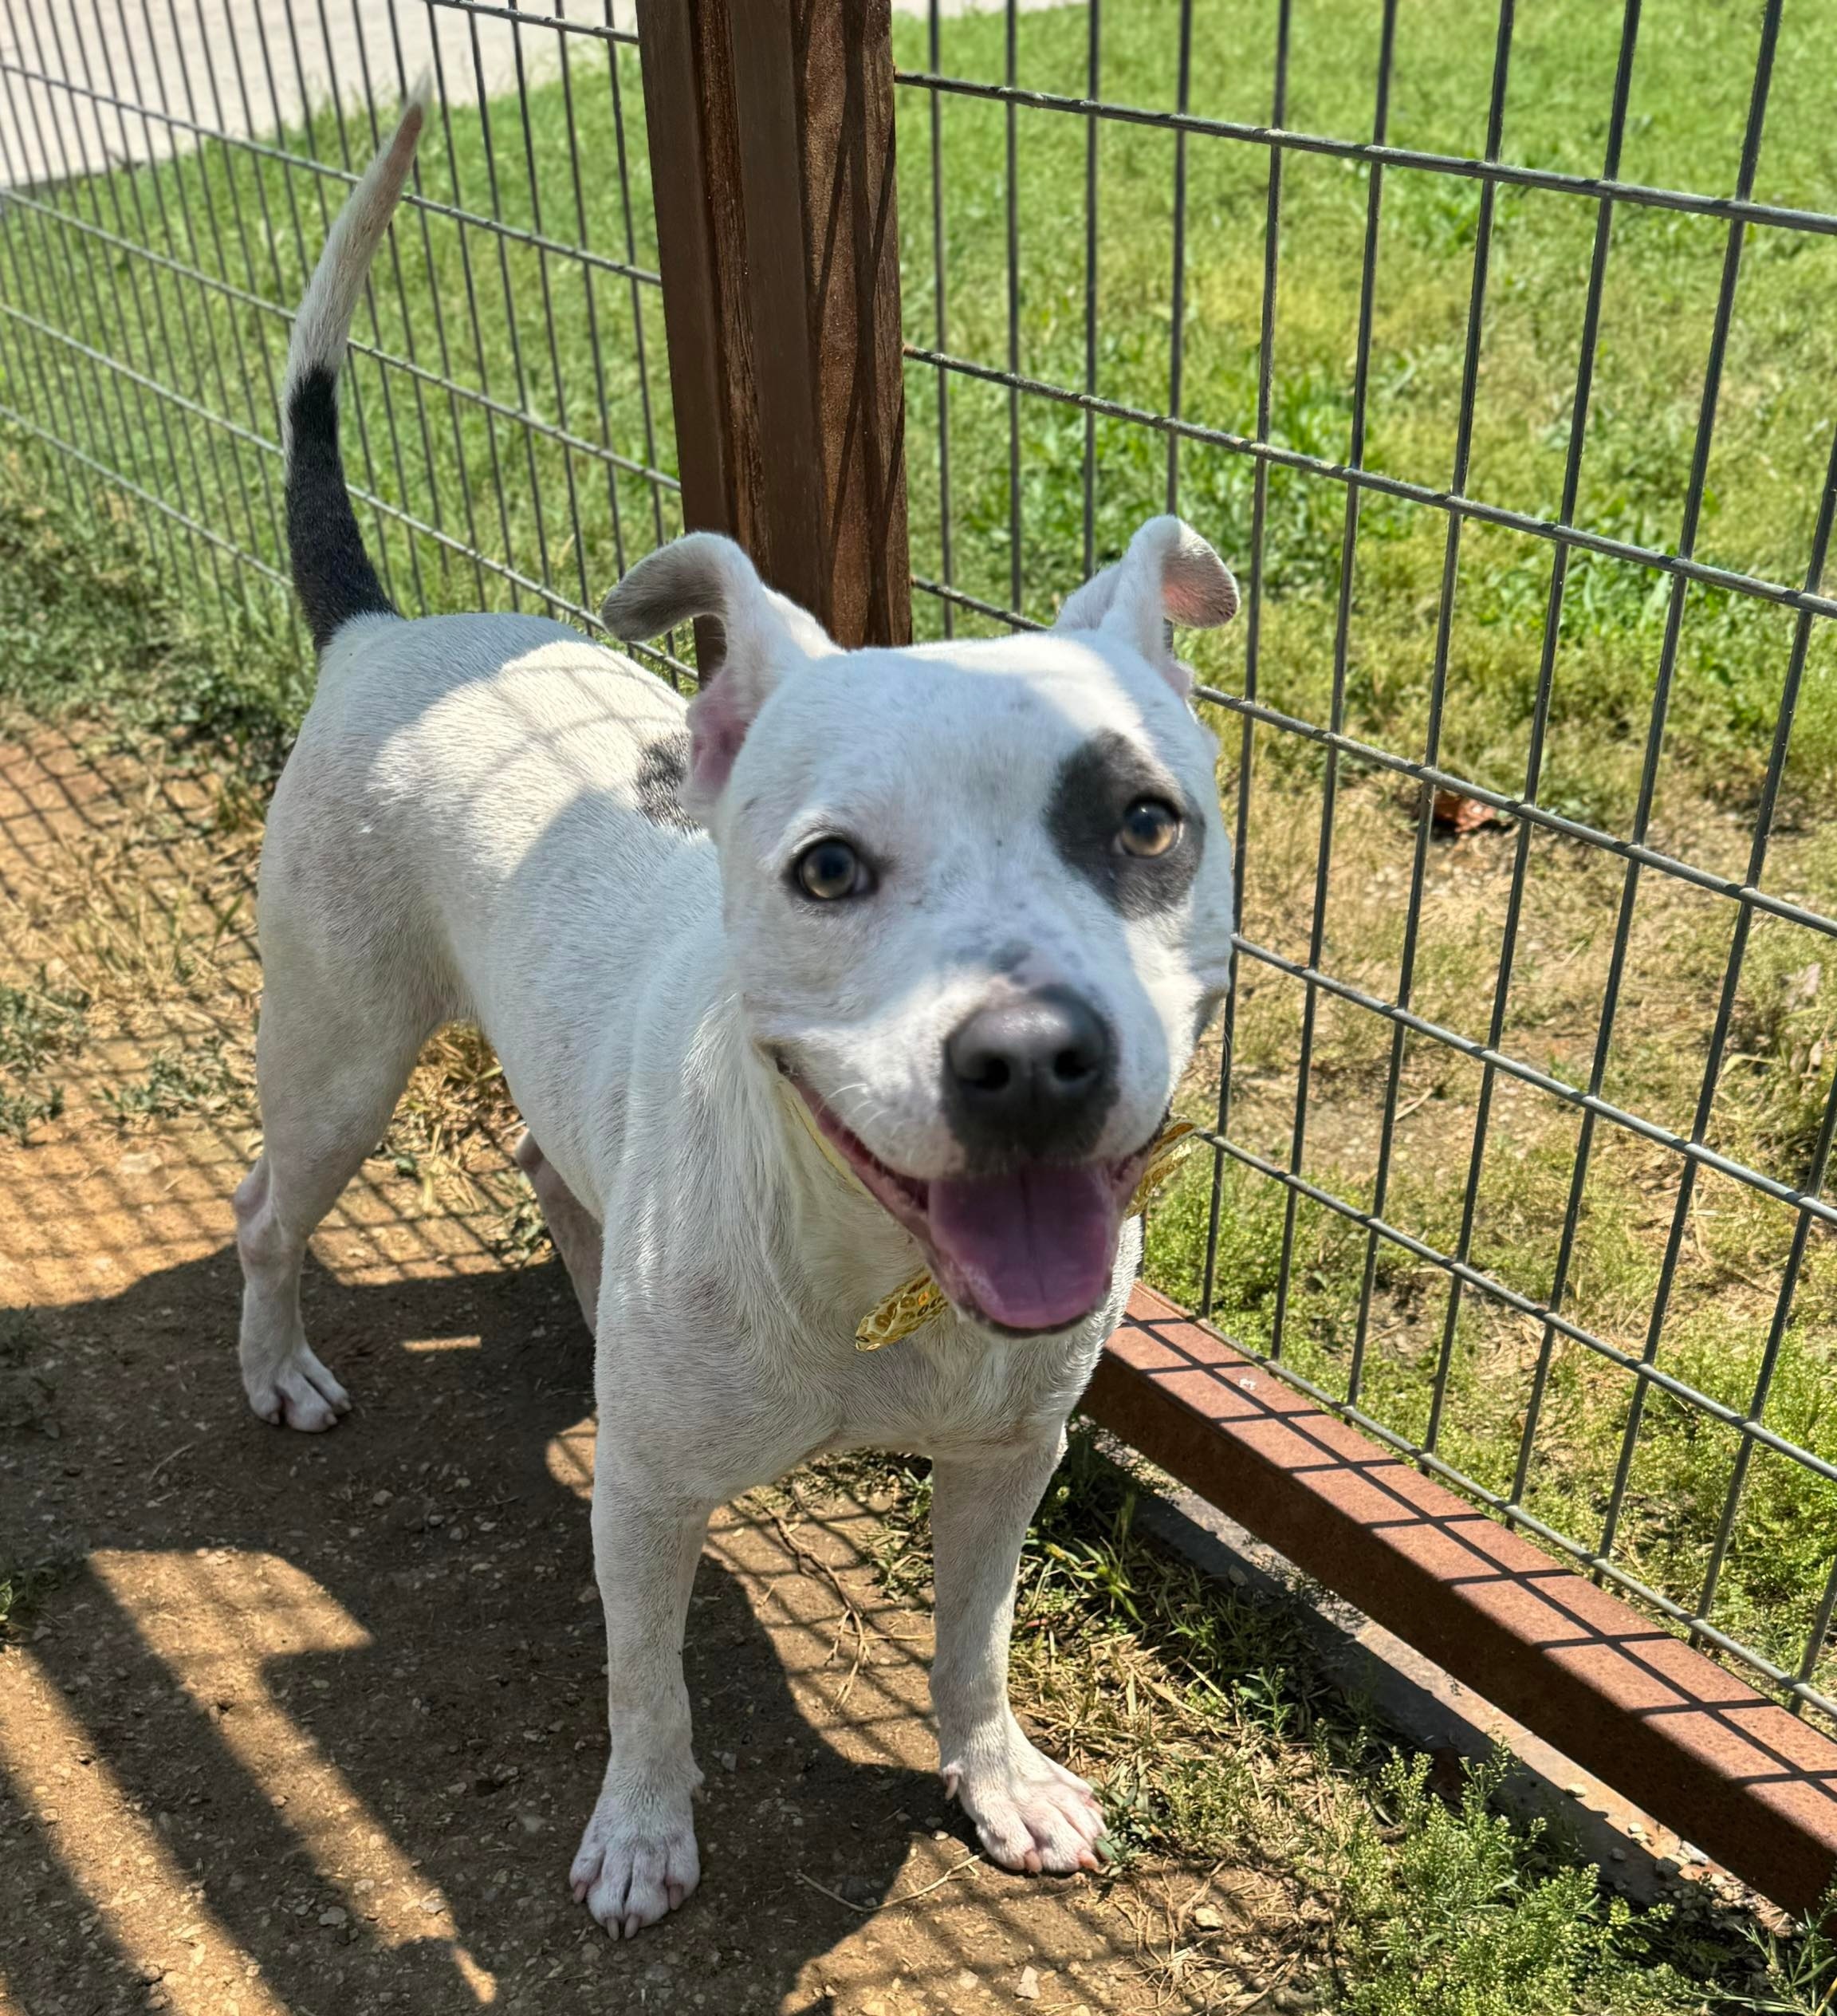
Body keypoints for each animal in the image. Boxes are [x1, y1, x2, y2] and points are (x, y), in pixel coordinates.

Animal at [230, 90, 1233, 1935]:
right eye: (826, 868)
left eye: (1143, 821)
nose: (1032, 1062)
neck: (876, 1273)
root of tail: (381, 630)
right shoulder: (641, 1502)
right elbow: (649, 1685)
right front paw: (641, 1831)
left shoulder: (1009, 1458)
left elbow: (972, 1641)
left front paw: (995, 1777)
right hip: (338, 1059)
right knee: (268, 1205)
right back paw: (280, 1366)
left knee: (548, 1166)